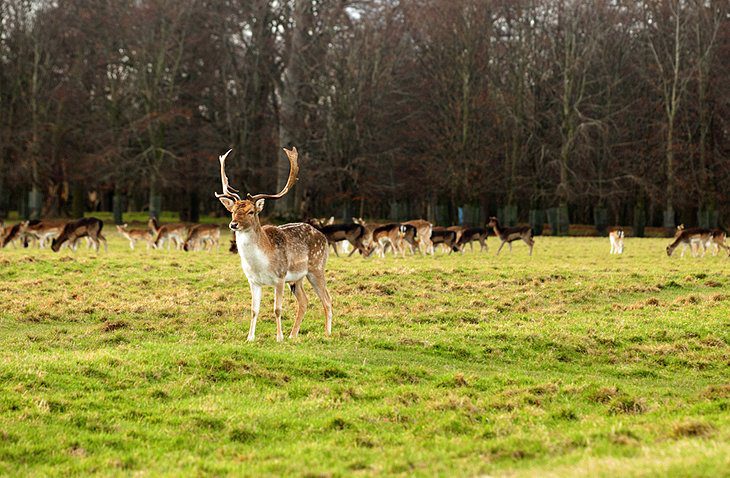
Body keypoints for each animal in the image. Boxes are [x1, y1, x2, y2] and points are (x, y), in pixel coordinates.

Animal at [215, 148, 332, 342]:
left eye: (251, 211)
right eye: (232, 211)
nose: (233, 224)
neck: (260, 263)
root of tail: (323, 236)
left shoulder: (280, 277)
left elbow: (277, 309)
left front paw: (279, 337)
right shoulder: (253, 281)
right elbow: (254, 310)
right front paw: (250, 338)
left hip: (317, 267)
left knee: (327, 299)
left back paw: (327, 333)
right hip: (297, 278)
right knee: (304, 301)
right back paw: (293, 335)